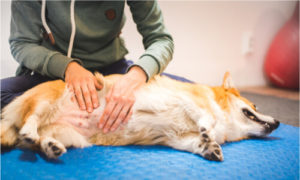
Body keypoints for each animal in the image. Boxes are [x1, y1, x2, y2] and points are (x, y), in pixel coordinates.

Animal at [1, 72, 280, 161]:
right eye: (254, 104)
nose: (278, 122)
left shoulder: (177, 138)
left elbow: (196, 143)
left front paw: (209, 147)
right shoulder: (189, 100)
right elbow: (205, 117)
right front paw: (208, 132)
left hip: (70, 135)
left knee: (37, 141)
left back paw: (50, 146)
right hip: (45, 101)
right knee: (30, 120)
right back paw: (30, 130)